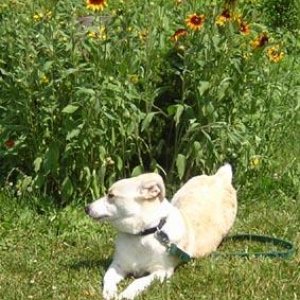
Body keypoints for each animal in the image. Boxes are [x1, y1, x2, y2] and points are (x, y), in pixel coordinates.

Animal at [85, 164, 238, 300]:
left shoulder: (161, 272)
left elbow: (138, 281)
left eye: (111, 195)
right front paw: (109, 292)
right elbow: (108, 276)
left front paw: (126, 294)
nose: (86, 208)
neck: (142, 235)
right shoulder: (118, 264)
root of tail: (220, 177)